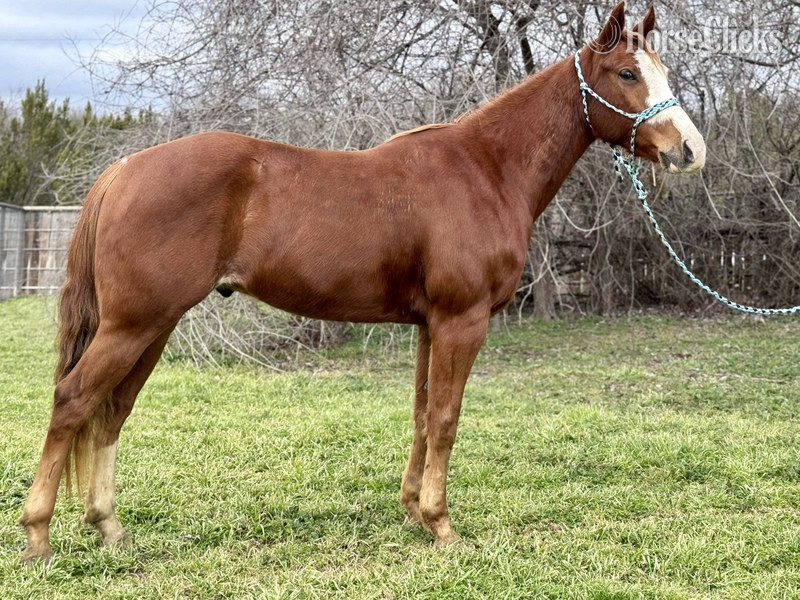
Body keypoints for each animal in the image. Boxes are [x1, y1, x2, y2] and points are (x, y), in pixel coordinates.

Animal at [20, 2, 705, 563]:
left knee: (112, 413)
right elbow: (447, 417)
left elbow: (423, 415)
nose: (690, 150)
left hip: (152, 326)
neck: (486, 170)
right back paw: (38, 537)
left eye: (661, 68)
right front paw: (443, 526)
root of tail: (125, 168)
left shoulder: (430, 325)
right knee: (73, 401)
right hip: (133, 324)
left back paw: (109, 529)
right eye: (628, 74)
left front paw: (415, 514)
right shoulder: (462, 321)